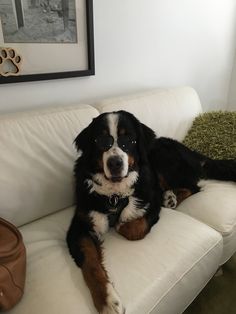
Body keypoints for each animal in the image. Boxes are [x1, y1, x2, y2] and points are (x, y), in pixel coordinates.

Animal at [66, 109, 236, 312]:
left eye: (129, 140)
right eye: (101, 141)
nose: (115, 163)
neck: (115, 194)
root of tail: (192, 152)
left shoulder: (151, 201)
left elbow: (133, 228)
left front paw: (122, 223)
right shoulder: (80, 226)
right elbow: (91, 264)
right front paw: (107, 301)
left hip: (162, 159)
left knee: (193, 187)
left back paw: (170, 198)